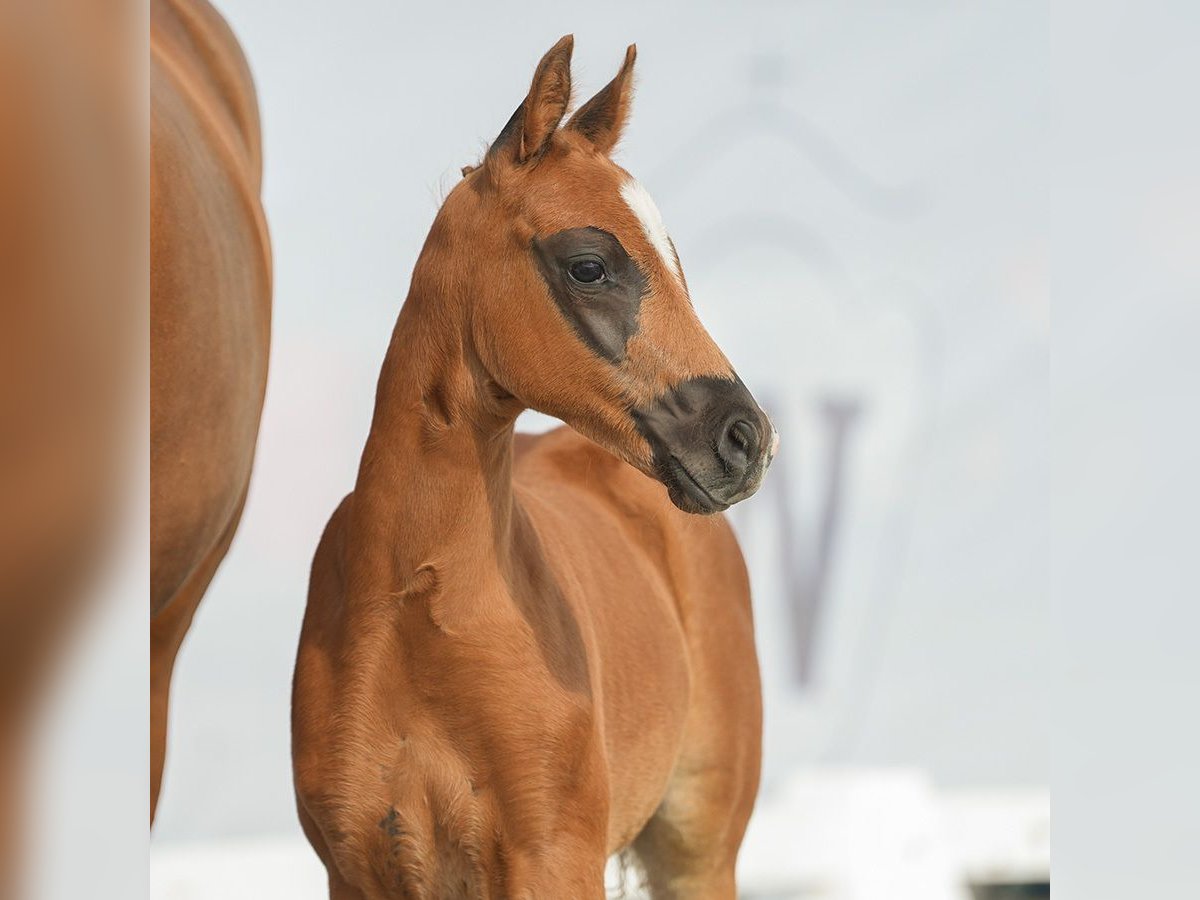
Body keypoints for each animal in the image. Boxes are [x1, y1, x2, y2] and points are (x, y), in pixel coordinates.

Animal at [295, 38, 772, 897]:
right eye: (588, 265)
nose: (744, 438)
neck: (417, 610)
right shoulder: (356, 870)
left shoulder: (554, 859)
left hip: (698, 850)